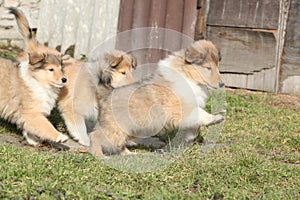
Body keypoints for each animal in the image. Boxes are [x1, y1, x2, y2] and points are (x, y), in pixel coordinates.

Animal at [4, 8, 68, 145]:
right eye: (51, 69)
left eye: (61, 69)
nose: (64, 79)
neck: (37, 81)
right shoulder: (31, 112)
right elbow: (45, 125)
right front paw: (60, 137)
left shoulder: (29, 114)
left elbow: (28, 127)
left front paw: (32, 140)